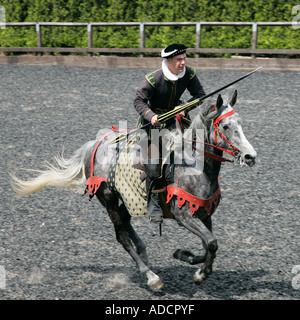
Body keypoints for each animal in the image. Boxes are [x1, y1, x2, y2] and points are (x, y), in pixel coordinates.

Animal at [10, 90, 256, 290]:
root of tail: (95, 144)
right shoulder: (184, 215)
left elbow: (209, 245)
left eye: (241, 122)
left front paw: (185, 257)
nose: (250, 156)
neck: (194, 166)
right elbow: (211, 243)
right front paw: (200, 275)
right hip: (107, 197)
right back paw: (151, 276)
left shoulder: (204, 214)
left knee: (126, 223)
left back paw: (144, 255)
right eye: (225, 126)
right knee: (121, 235)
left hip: (127, 200)